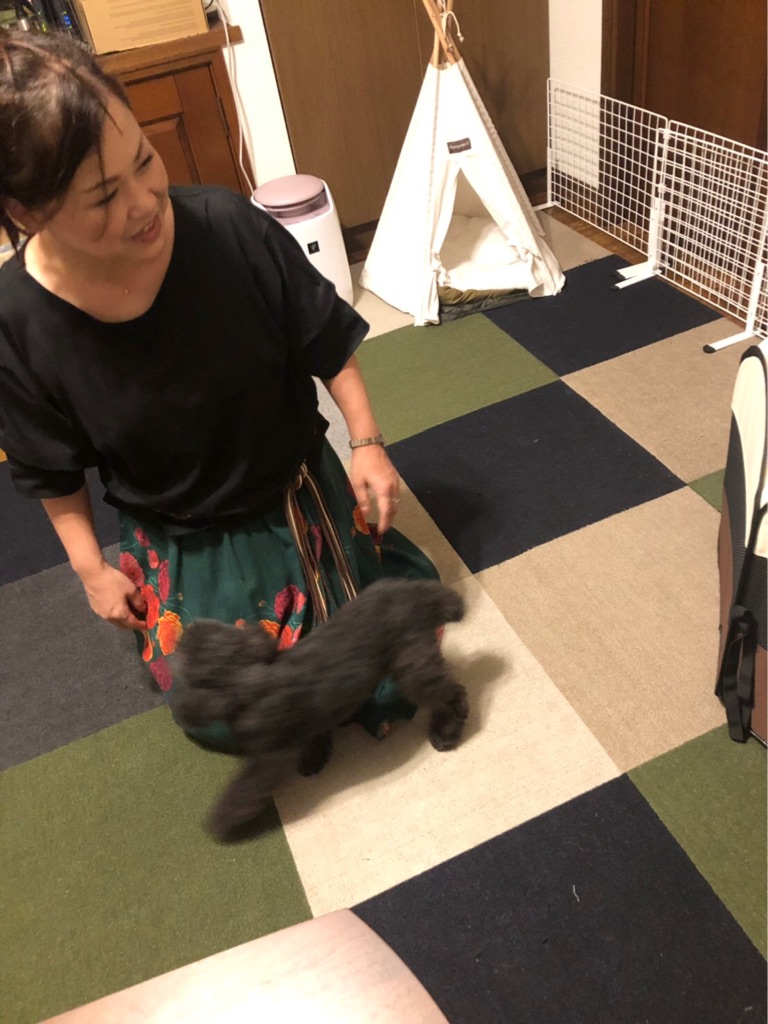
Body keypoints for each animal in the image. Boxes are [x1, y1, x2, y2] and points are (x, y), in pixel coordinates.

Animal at [172, 577, 468, 839]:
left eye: (187, 656)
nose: (189, 629)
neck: (248, 679)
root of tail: (414, 595)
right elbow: (315, 737)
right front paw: (315, 758)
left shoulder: (266, 760)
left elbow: (242, 791)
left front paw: (220, 820)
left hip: (413, 668)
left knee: (452, 694)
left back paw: (447, 730)